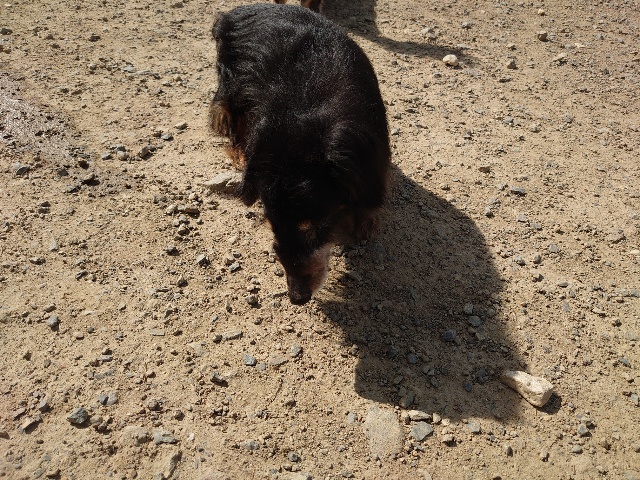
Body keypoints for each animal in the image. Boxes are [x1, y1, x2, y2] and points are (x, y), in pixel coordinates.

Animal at [210, 4, 390, 305]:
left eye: (311, 226)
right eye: (272, 224)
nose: (297, 298)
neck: (308, 112)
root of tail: (238, 10)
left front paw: (364, 226)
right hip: (233, 84)